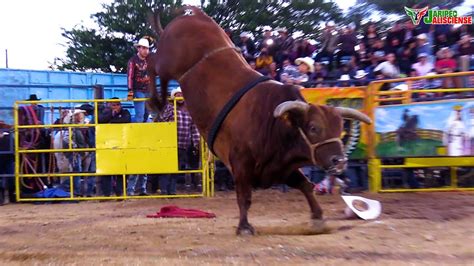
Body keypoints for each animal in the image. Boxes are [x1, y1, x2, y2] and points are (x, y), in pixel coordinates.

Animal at [146, 6, 372, 235]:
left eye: (339, 129)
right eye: (313, 127)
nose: (340, 161)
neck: (274, 122)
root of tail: (193, 14)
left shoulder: (281, 168)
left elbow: (306, 185)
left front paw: (318, 218)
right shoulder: (240, 165)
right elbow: (244, 197)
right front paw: (244, 227)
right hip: (166, 62)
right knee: (152, 65)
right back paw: (155, 102)